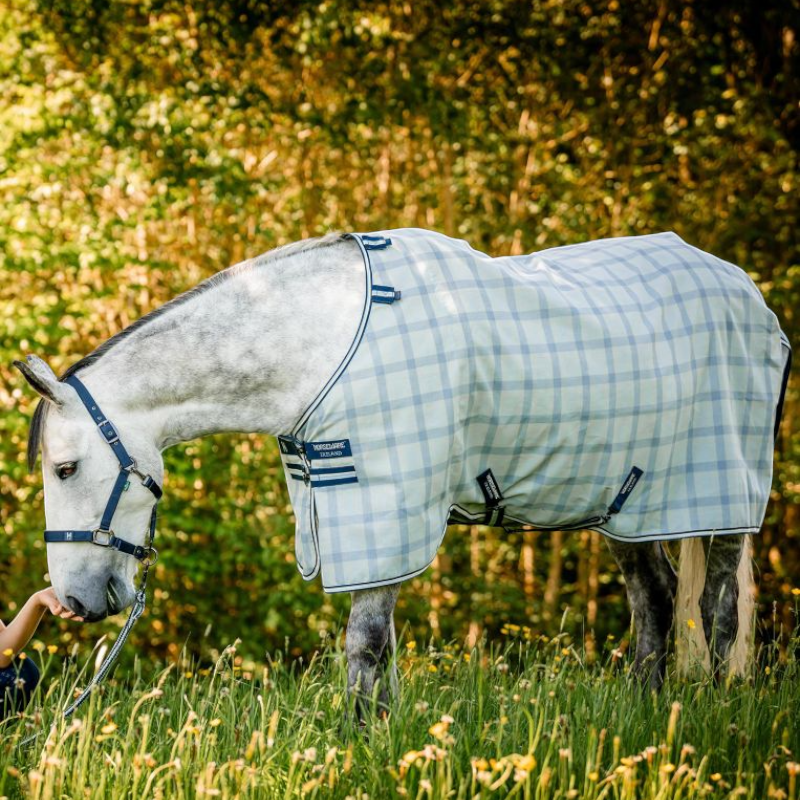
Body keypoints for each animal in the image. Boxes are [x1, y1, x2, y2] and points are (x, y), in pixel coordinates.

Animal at [15, 229, 790, 709]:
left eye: (66, 468)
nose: (75, 600)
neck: (318, 340)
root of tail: (748, 292)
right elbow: (379, 648)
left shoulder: (383, 502)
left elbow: (364, 643)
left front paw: (359, 740)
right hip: (627, 501)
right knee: (653, 600)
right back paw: (644, 713)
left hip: (721, 496)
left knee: (718, 611)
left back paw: (710, 711)